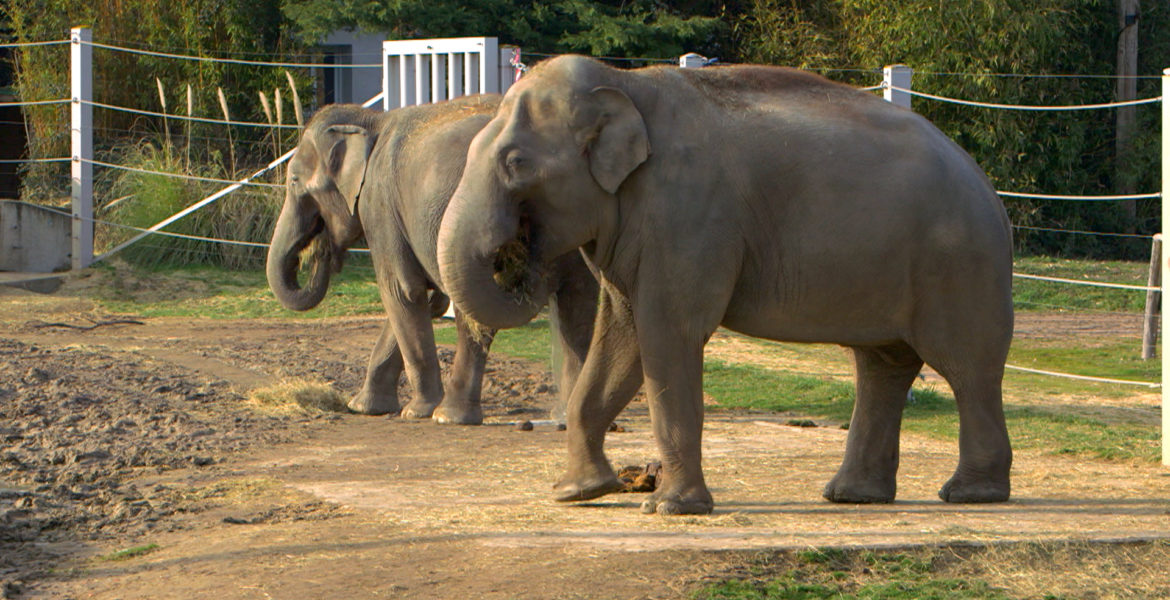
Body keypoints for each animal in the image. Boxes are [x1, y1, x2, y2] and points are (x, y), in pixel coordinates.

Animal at [265, 94, 594, 425]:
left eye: (294, 181)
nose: (320, 250)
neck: (369, 120)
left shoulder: (379, 203)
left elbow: (401, 290)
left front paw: (413, 412)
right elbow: (419, 299)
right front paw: (363, 407)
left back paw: (448, 416)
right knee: (577, 302)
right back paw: (566, 416)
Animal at [439, 57, 1015, 514]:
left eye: (516, 163)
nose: (515, 262)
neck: (624, 82)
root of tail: (986, 182)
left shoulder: (686, 212)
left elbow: (667, 335)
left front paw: (670, 509)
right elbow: (622, 339)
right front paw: (577, 493)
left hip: (960, 265)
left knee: (966, 367)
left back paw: (969, 495)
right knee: (883, 365)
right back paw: (852, 496)